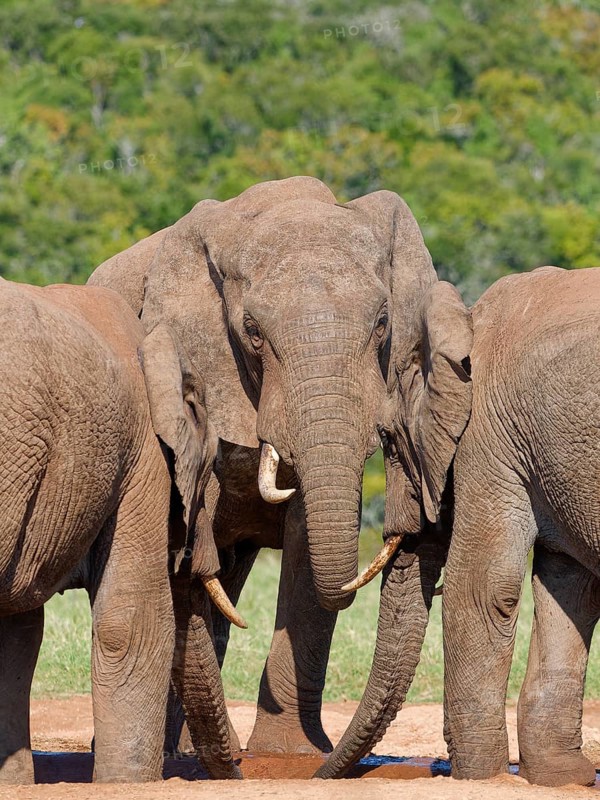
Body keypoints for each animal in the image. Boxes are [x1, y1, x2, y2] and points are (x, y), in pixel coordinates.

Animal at [0, 278, 241, 782]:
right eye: (212, 468)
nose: (238, 766)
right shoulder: (144, 456)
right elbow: (132, 621)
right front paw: (128, 784)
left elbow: (18, 629)